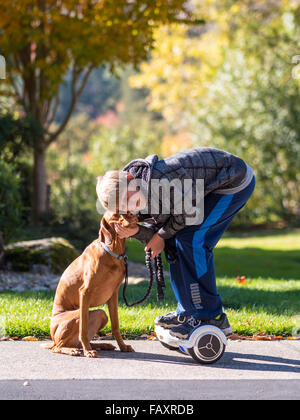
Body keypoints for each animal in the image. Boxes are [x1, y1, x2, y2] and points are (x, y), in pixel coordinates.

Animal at [44, 212, 138, 356]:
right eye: (116, 214)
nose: (134, 217)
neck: (112, 252)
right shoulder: (85, 292)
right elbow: (83, 329)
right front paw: (87, 351)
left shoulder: (113, 295)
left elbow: (116, 326)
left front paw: (123, 346)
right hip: (76, 316)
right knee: (57, 346)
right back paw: (75, 349)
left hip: (101, 314)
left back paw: (101, 345)